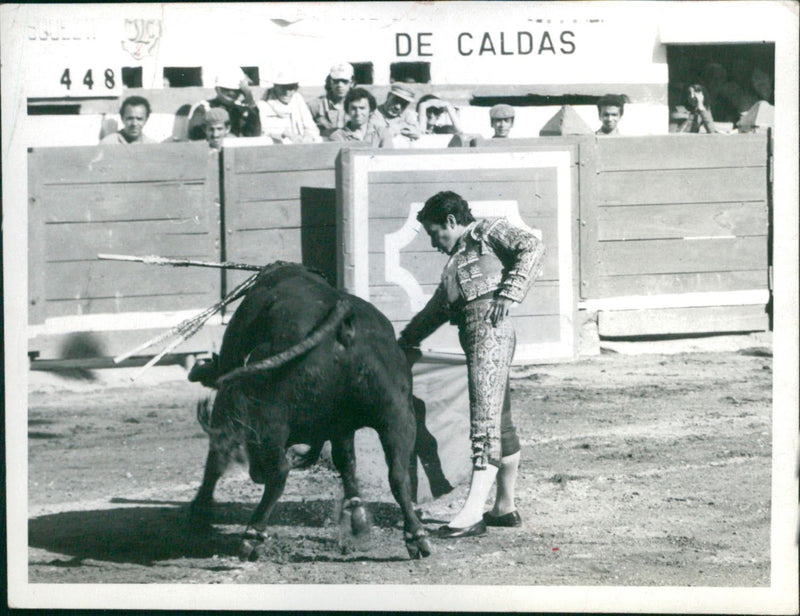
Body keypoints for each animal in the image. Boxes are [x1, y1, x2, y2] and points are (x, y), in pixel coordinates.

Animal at [187, 260, 432, 560]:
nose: (255, 473)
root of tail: (343, 324)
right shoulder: (341, 426)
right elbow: (346, 460)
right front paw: (357, 518)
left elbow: (216, 458)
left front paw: (199, 513)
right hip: (398, 414)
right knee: (398, 474)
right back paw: (416, 536)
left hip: (271, 420)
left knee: (278, 471)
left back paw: (252, 535)